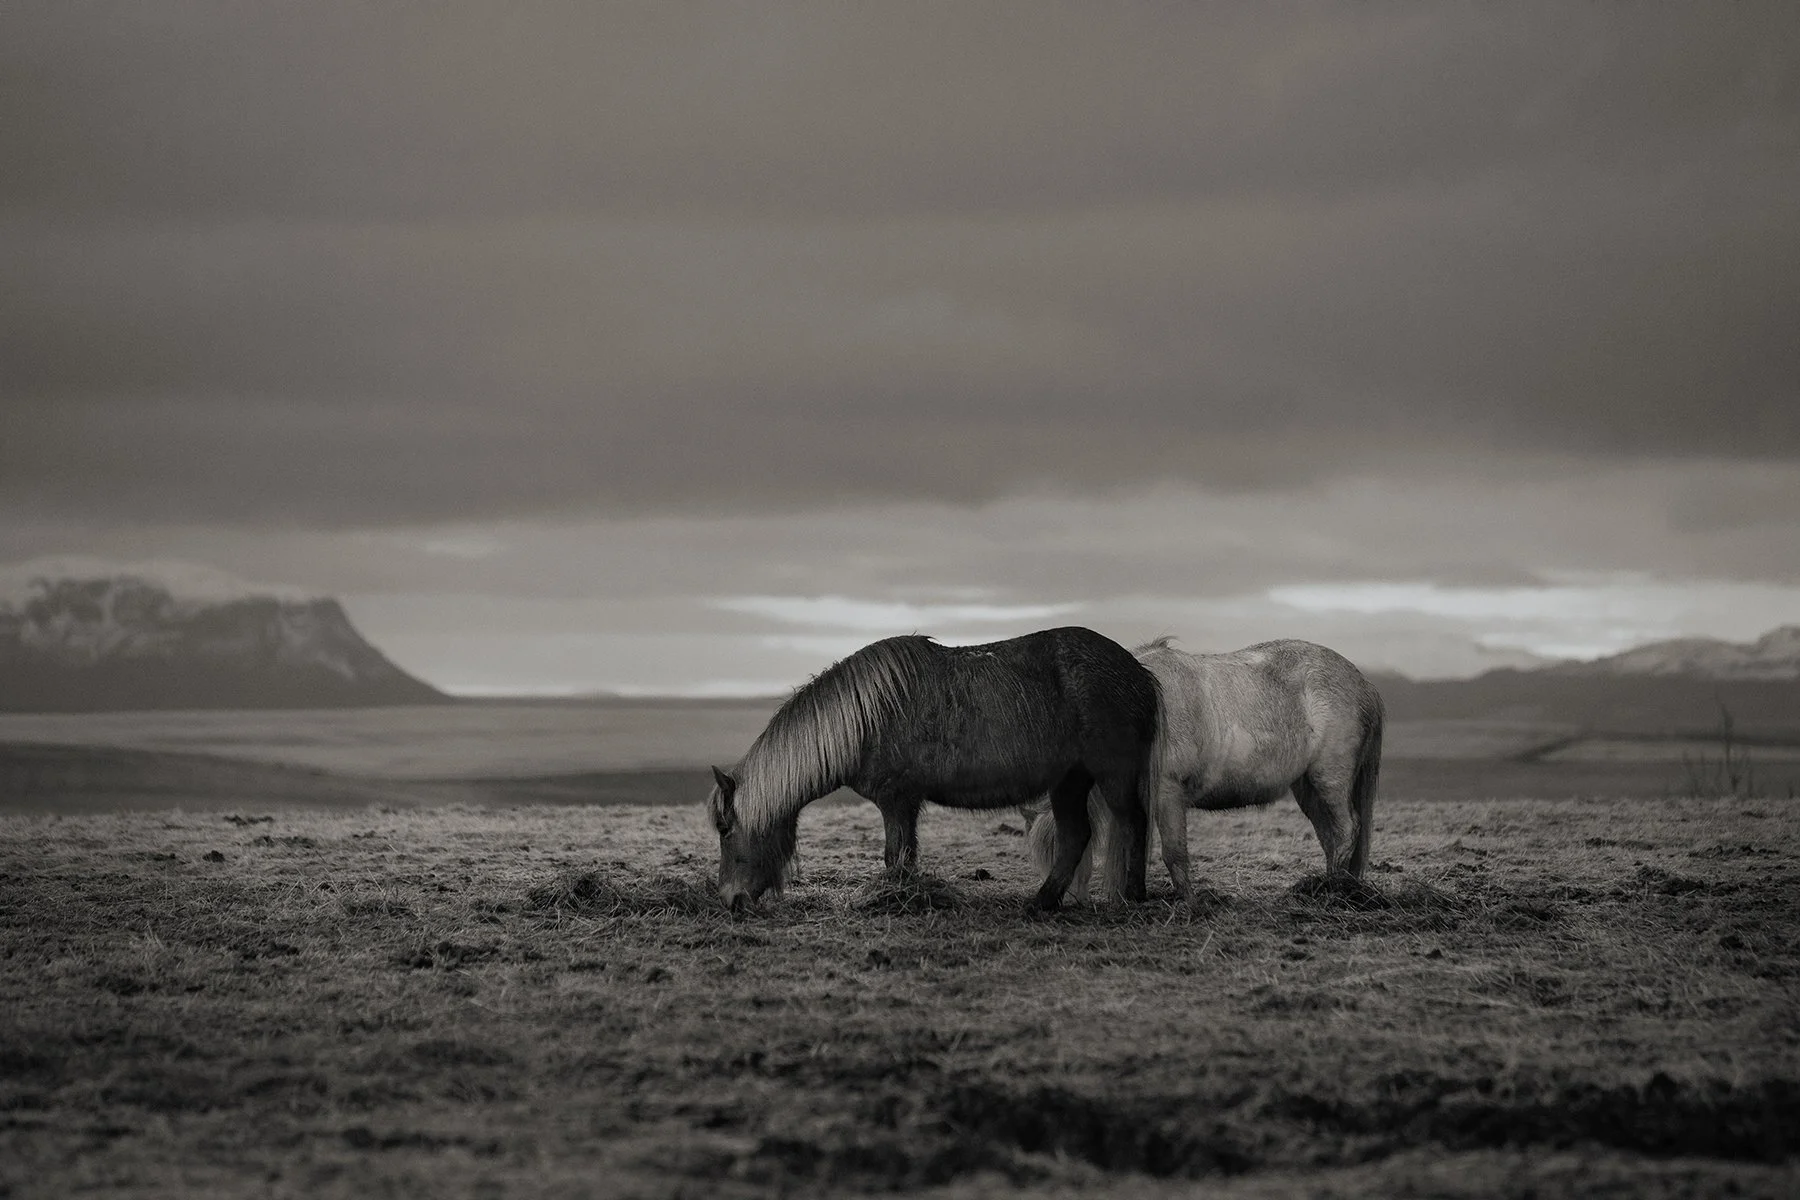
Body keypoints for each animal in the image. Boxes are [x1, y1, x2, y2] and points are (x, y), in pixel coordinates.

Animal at [704, 626, 1161, 913]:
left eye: (725, 830)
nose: (730, 901)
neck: (866, 719)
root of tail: (1139, 671)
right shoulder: (903, 804)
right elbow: (904, 856)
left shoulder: (895, 799)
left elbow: (895, 857)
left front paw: (898, 901)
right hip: (1069, 782)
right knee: (1075, 836)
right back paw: (1042, 903)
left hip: (1112, 775)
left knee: (1134, 821)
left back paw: (1133, 895)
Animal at [1027, 637, 1383, 900]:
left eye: (1055, 849)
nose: (1066, 899)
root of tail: (1363, 683)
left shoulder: (1167, 792)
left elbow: (1174, 852)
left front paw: (1189, 903)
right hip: (1307, 787)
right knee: (1329, 835)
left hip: (1329, 779)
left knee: (1346, 829)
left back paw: (1334, 889)